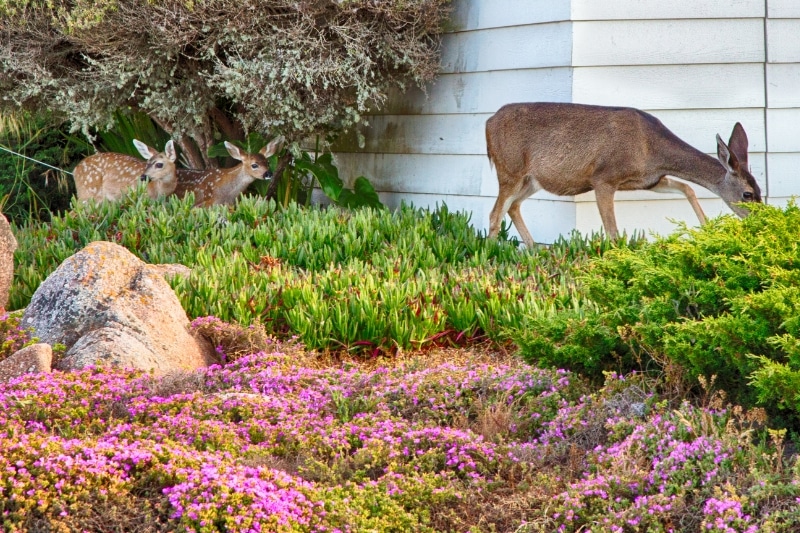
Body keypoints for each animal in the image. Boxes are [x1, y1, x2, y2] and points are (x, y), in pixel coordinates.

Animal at [484, 102, 760, 247]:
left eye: (760, 191)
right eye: (747, 194)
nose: (760, 219)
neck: (651, 149)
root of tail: (487, 123)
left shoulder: (649, 181)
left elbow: (687, 187)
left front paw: (706, 228)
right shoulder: (603, 177)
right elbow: (613, 232)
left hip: (532, 179)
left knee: (513, 206)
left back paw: (534, 249)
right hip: (510, 169)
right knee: (495, 212)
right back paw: (490, 255)